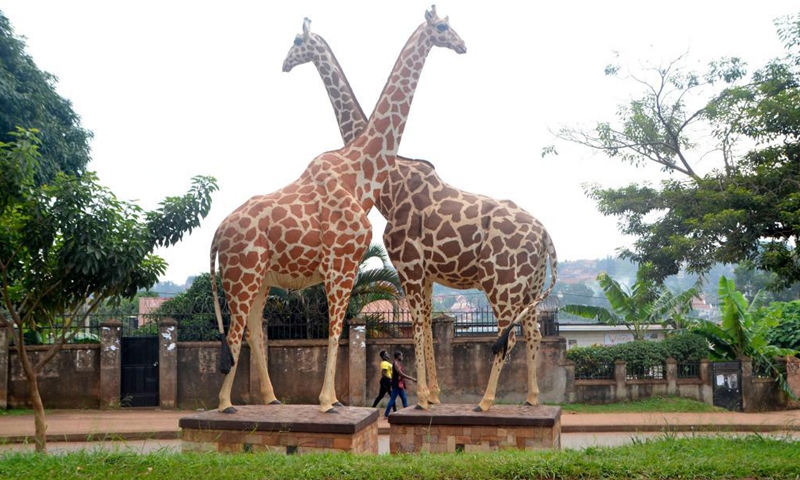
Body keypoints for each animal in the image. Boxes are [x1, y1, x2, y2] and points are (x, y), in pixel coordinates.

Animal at [210, 6, 466, 414]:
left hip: (258, 279)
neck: (359, 172)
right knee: (236, 331)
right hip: (243, 276)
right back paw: (224, 404)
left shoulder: (342, 265)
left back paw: (270, 398)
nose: (461, 44)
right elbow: (335, 328)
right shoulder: (341, 263)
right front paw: (329, 401)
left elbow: (339, 328)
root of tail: (217, 233)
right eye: (442, 27)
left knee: (250, 327)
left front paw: (331, 399)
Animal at [283, 18, 557, 412]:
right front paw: (434, 396)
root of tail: (546, 234)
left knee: (509, 337)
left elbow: (417, 326)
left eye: (296, 42)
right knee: (532, 333)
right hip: (530, 285)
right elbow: (426, 325)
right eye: (444, 26)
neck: (390, 187)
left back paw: (486, 402)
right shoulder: (423, 273)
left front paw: (425, 398)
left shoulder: (408, 266)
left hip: (502, 282)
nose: (285, 64)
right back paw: (532, 400)